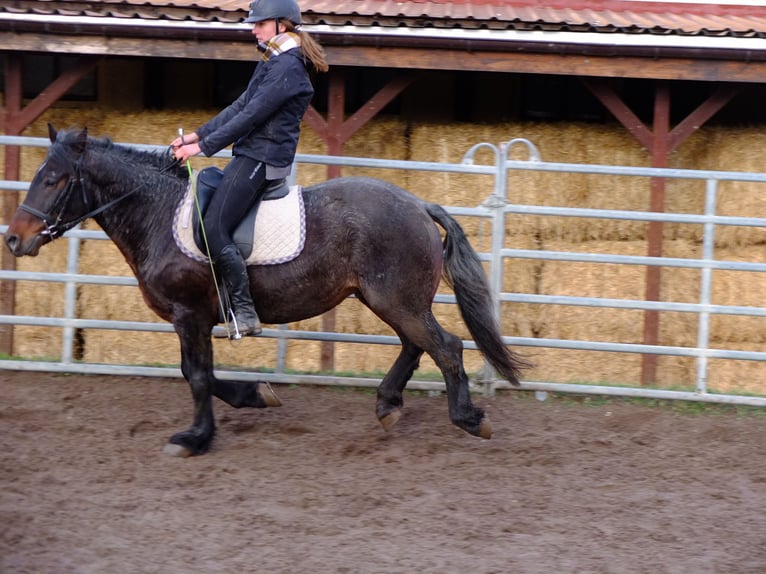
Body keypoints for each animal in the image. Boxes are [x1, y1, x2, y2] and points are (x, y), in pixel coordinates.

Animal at [6, 126, 532, 460]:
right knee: (416, 345)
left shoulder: (189, 315)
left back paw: (468, 418)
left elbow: (197, 376)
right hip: (389, 300)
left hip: (396, 300)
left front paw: (195, 438)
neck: (157, 212)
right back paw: (387, 405)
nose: (14, 239)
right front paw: (255, 395)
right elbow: (199, 373)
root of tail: (419, 204)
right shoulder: (196, 318)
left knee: (446, 347)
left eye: (52, 179)